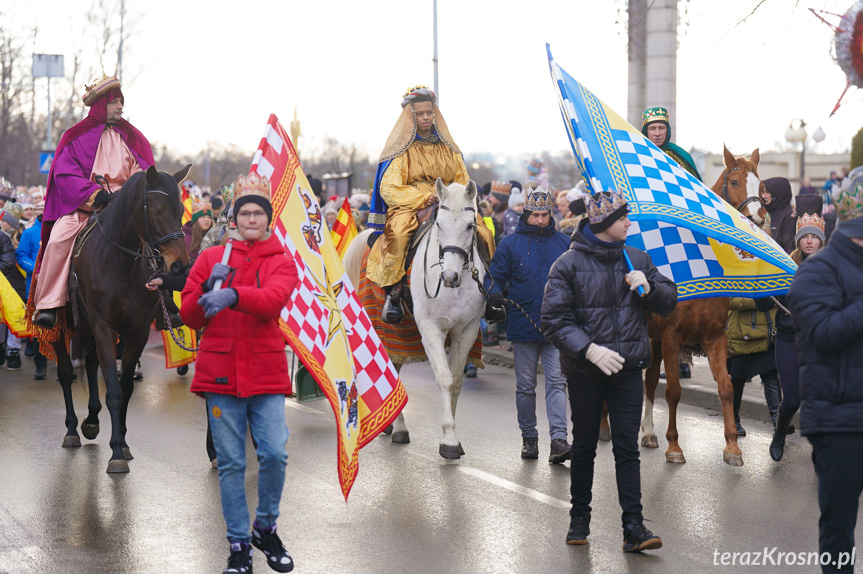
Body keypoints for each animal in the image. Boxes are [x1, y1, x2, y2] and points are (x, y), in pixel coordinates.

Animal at [39, 164, 191, 474]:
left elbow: (125, 387)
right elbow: (114, 392)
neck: (120, 263)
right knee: (65, 373)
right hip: (63, 330)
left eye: (181, 208)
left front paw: (122, 443)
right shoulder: (105, 328)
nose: (180, 266)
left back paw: (92, 421)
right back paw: (72, 429)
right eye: (158, 209)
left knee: (91, 365)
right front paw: (117, 452)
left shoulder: (137, 331)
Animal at [348, 179, 490, 460]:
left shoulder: (465, 331)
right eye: (439, 224)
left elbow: (456, 381)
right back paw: (397, 426)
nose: (450, 277)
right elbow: (444, 378)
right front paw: (448, 440)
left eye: (470, 226)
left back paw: (393, 424)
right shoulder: (431, 329)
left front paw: (454, 438)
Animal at [596, 145, 768, 468]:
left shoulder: (715, 338)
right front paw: (674, 446)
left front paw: (732, 447)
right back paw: (603, 427)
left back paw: (648, 432)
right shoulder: (672, 337)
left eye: (761, 185)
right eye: (734, 182)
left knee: (650, 381)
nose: (757, 220)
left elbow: (726, 388)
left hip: (651, 338)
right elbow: (674, 391)